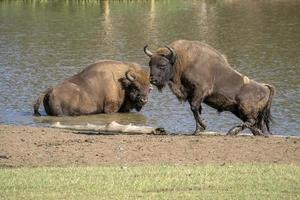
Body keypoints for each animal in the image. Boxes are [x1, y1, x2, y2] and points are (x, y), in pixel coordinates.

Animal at [144, 39, 276, 136]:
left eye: (162, 65)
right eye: (150, 64)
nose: (152, 80)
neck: (182, 61)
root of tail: (265, 88)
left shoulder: (200, 91)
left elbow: (194, 108)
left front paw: (203, 126)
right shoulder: (192, 94)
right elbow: (196, 110)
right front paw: (197, 130)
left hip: (244, 109)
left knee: (250, 121)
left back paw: (231, 132)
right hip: (240, 111)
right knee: (255, 124)